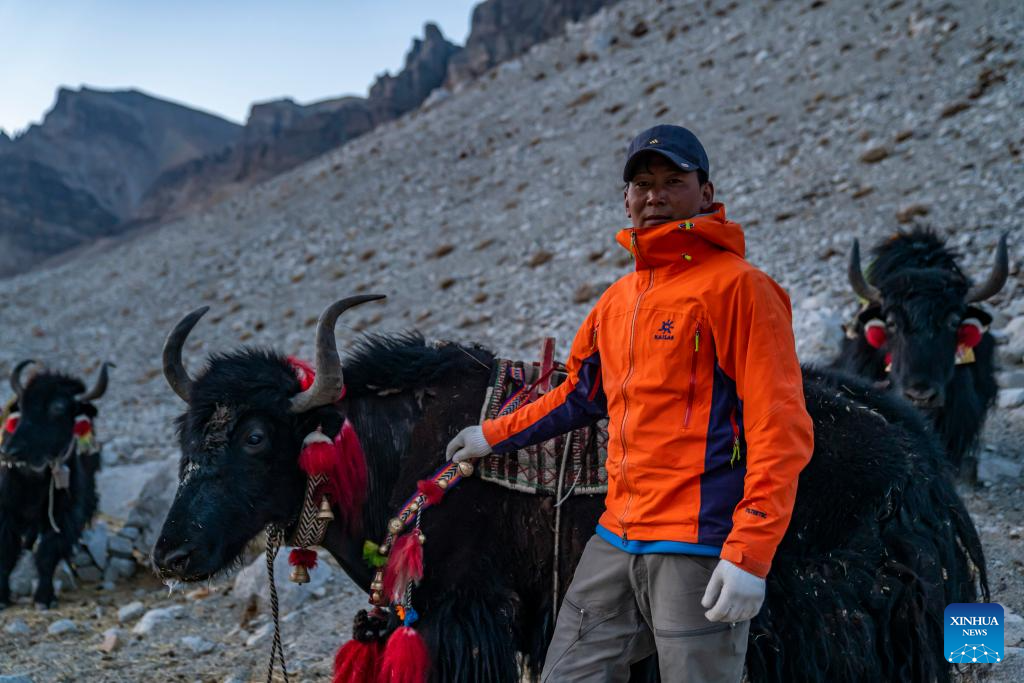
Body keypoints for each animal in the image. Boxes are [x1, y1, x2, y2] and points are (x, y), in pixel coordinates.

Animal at [0, 360, 111, 608]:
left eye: (58, 408)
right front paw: (1, 598)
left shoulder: (65, 514)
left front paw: (44, 598)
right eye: (23, 406)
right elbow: (6, 551)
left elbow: (48, 553)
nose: (10, 451)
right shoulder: (6, 513)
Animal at [152, 296, 986, 683]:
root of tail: (916, 456)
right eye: (188, 438)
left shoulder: (466, 615)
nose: (171, 555)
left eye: (256, 437)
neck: (396, 457)